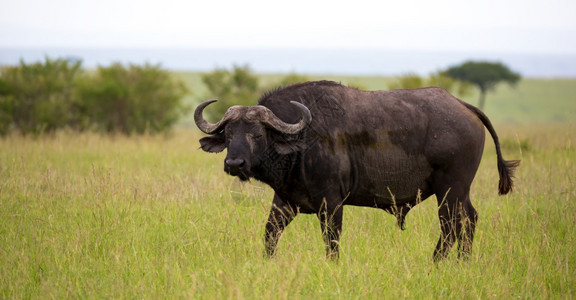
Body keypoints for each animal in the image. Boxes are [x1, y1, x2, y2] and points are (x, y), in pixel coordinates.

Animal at [196, 81, 520, 262]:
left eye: (257, 134)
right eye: (229, 134)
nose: (234, 164)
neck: (302, 141)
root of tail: (464, 106)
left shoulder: (331, 204)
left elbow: (332, 242)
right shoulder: (285, 201)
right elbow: (269, 235)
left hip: (450, 190)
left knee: (451, 225)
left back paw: (437, 263)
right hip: (460, 192)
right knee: (470, 220)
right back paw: (463, 262)